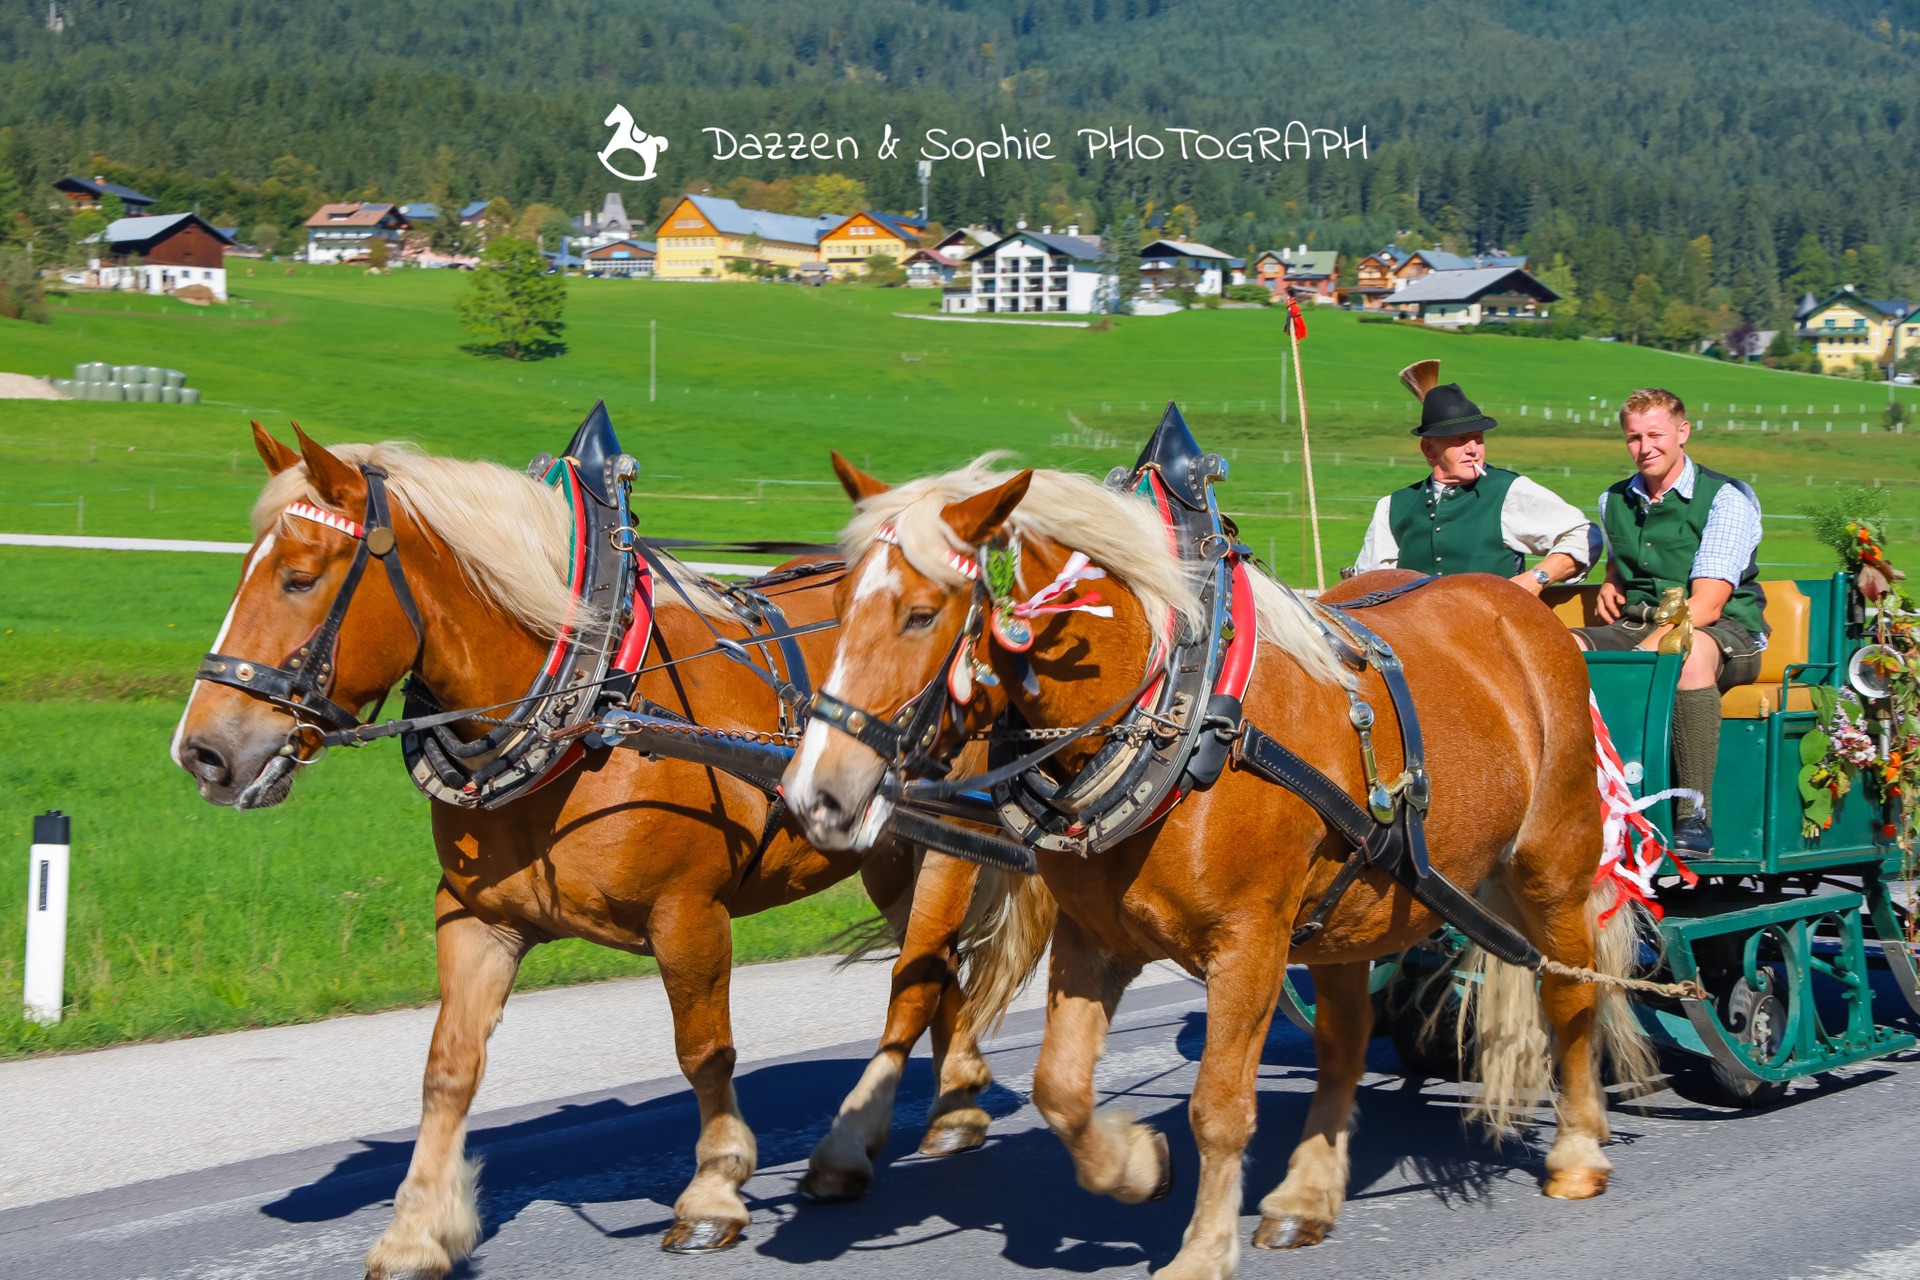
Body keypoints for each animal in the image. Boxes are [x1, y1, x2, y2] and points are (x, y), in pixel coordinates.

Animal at [172, 426, 1059, 1274]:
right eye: (247, 568)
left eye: (300, 577)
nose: (204, 752)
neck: (587, 705)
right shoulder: (476, 918)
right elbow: (448, 1068)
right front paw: (417, 1231)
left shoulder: (689, 915)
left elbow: (704, 1052)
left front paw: (714, 1190)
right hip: (884, 852)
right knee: (939, 972)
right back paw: (958, 1102)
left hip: (953, 849)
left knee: (914, 984)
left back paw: (852, 1147)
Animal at [787, 458, 1658, 1280]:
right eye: (839, 606)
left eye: (921, 614)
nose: (815, 793)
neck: (1182, 713)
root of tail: (1522, 610)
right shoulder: (1094, 938)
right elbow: (1059, 1088)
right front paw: (1139, 1166)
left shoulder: (1248, 943)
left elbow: (1219, 1106)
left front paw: (1203, 1249)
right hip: (1351, 909)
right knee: (1346, 1041)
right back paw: (1307, 1194)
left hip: (1551, 866)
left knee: (1570, 994)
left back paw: (1580, 1147)